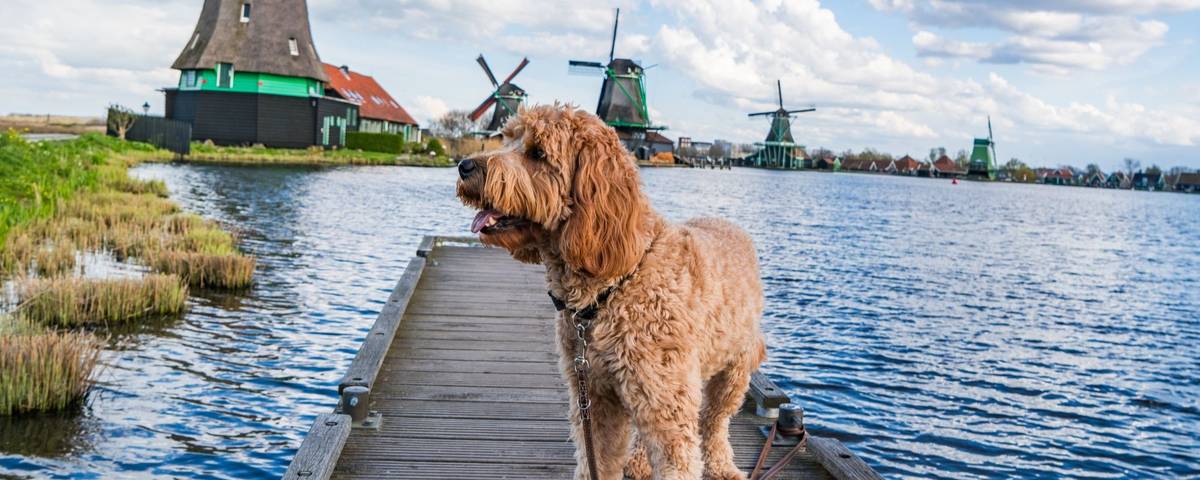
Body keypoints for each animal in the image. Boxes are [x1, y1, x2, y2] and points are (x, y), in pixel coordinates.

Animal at [453, 105, 763, 480]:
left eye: (538, 153)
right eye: (507, 138)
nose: (464, 165)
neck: (613, 286)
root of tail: (726, 223)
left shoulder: (666, 408)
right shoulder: (597, 398)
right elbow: (596, 460)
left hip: (732, 371)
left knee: (715, 420)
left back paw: (722, 466)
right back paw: (640, 462)